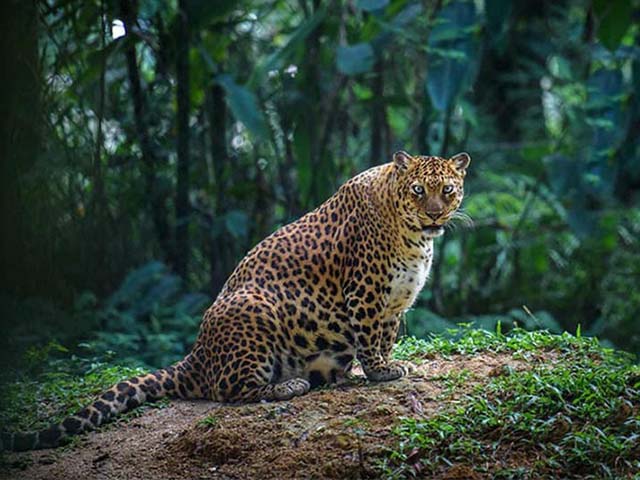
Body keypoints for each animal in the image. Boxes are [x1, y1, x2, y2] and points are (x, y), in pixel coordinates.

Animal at [0, 150, 470, 450]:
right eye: (417, 190)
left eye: (447, 190)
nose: (433, 213)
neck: (416, 237)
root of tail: (196, 355)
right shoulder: (365, 292)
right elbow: (370, 339)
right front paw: (381, 372)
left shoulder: (395, 302)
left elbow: (385, 336)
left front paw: (387, 365)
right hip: (253, 310)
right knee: (229, 390)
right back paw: (289, 386)